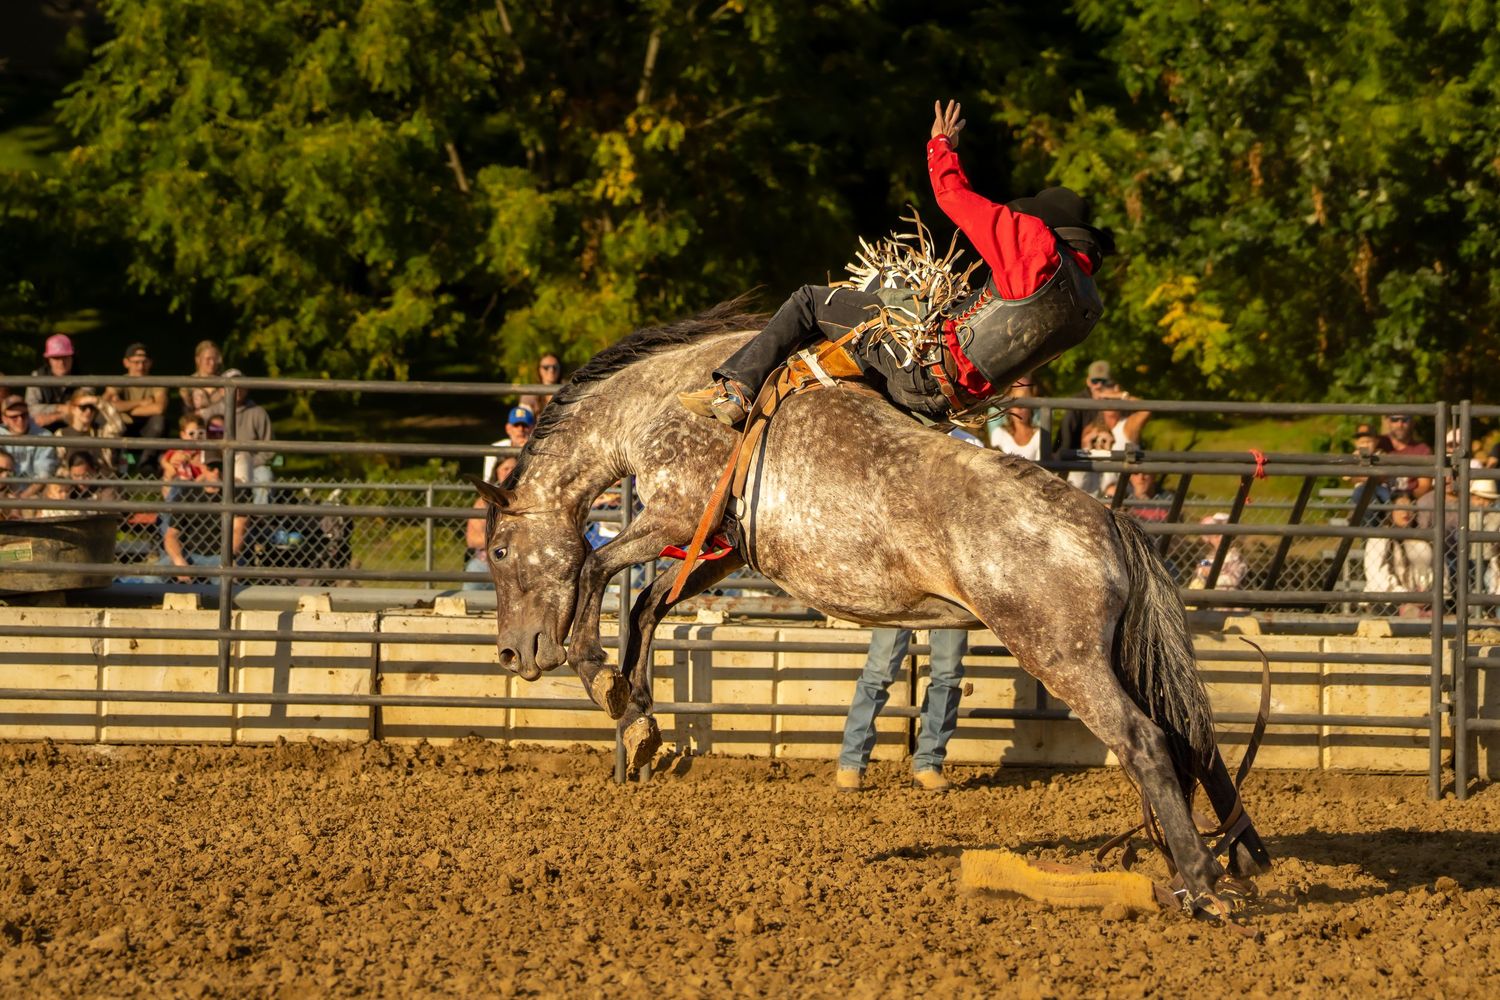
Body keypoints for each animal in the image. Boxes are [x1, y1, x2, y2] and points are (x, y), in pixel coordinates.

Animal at [472, 303, 1271, 911]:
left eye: (501, 552)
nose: (512, 653)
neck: (669, 399)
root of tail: (1106, 521)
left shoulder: (674, 516)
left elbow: (597, 571)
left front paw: (601, 679)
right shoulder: (723, 548)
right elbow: (644, 607)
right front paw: (639, 720)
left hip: (1064, 658)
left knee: (1145, 742)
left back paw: (1199, 886)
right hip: (1115, 656)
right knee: (1191, 739)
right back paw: (1229, 862)